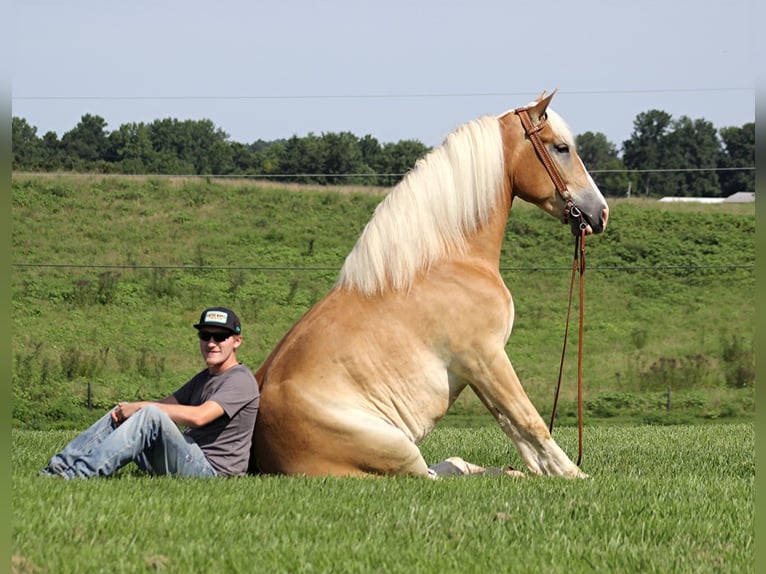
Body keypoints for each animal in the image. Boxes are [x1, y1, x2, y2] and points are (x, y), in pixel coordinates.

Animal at [252, 90, 612, 480]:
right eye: (561, 148)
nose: (600, 213)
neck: (448, 260)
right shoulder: (486, 358)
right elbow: (529, 421)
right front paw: (575, 475)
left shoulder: (477, 369)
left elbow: (514, 429)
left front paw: (542, 472)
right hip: (399, 449)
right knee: (432, 476)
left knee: (451, 466)